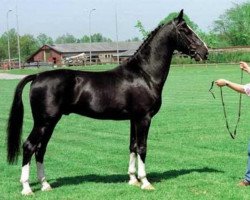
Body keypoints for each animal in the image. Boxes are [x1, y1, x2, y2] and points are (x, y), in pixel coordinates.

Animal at [7, 9, 207, 195]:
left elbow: (132, 146)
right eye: (185, 30)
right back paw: (27, 188)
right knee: (29, 146)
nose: (205, 51)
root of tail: (37, 76)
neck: (144, 74)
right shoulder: (144, 118)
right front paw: (145, 182)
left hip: (50, 123)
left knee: (40, 149)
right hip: (44, 122)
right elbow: (142, 147)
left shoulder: (133, 119)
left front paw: (133, 179)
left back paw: (45, 185)